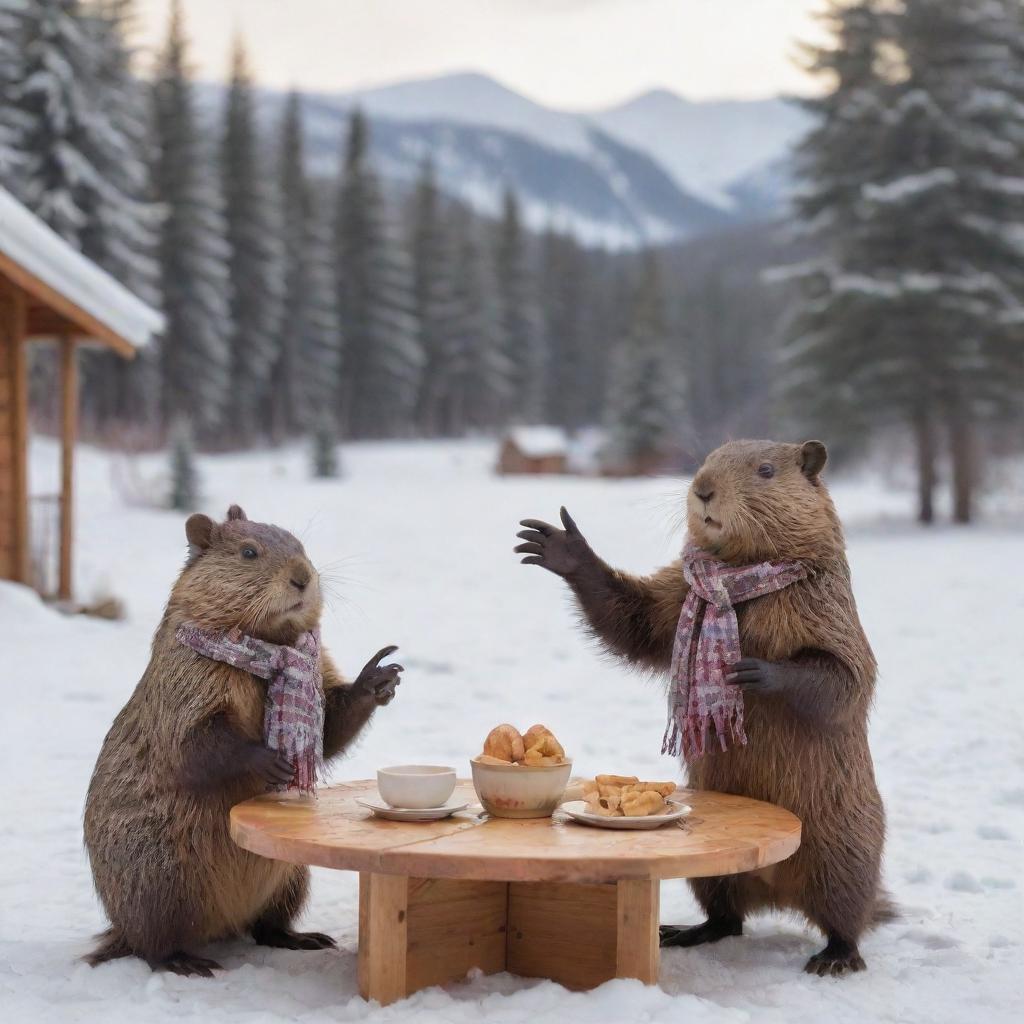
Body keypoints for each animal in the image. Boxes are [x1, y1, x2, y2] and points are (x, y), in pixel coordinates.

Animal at [83, 503, 403, 974]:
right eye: (249, 552)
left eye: (299, 544)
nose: (302, 576)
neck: (264, 649)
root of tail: (221, 926)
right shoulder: (182, 680)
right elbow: (192, 743)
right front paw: (271, 759)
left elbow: (330, 730)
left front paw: (379, 677)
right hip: (158, 878)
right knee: (152, 945)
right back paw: (188, 962)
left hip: (292, 875)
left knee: (266, 926)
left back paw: (304, 939)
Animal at [516, 438, 892, 974]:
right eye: (708, 460)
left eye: (766, 469)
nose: (704, 489)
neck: (739, 581)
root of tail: (777, 890)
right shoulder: (677, 591)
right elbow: (637, 623)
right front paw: (559, 545)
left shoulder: (827, 603)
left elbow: (847, 676)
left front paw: (751, 670)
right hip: (715, 875)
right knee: (725, 914)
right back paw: (682, 932)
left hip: (844, 841)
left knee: (845, 913)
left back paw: (834, 958)